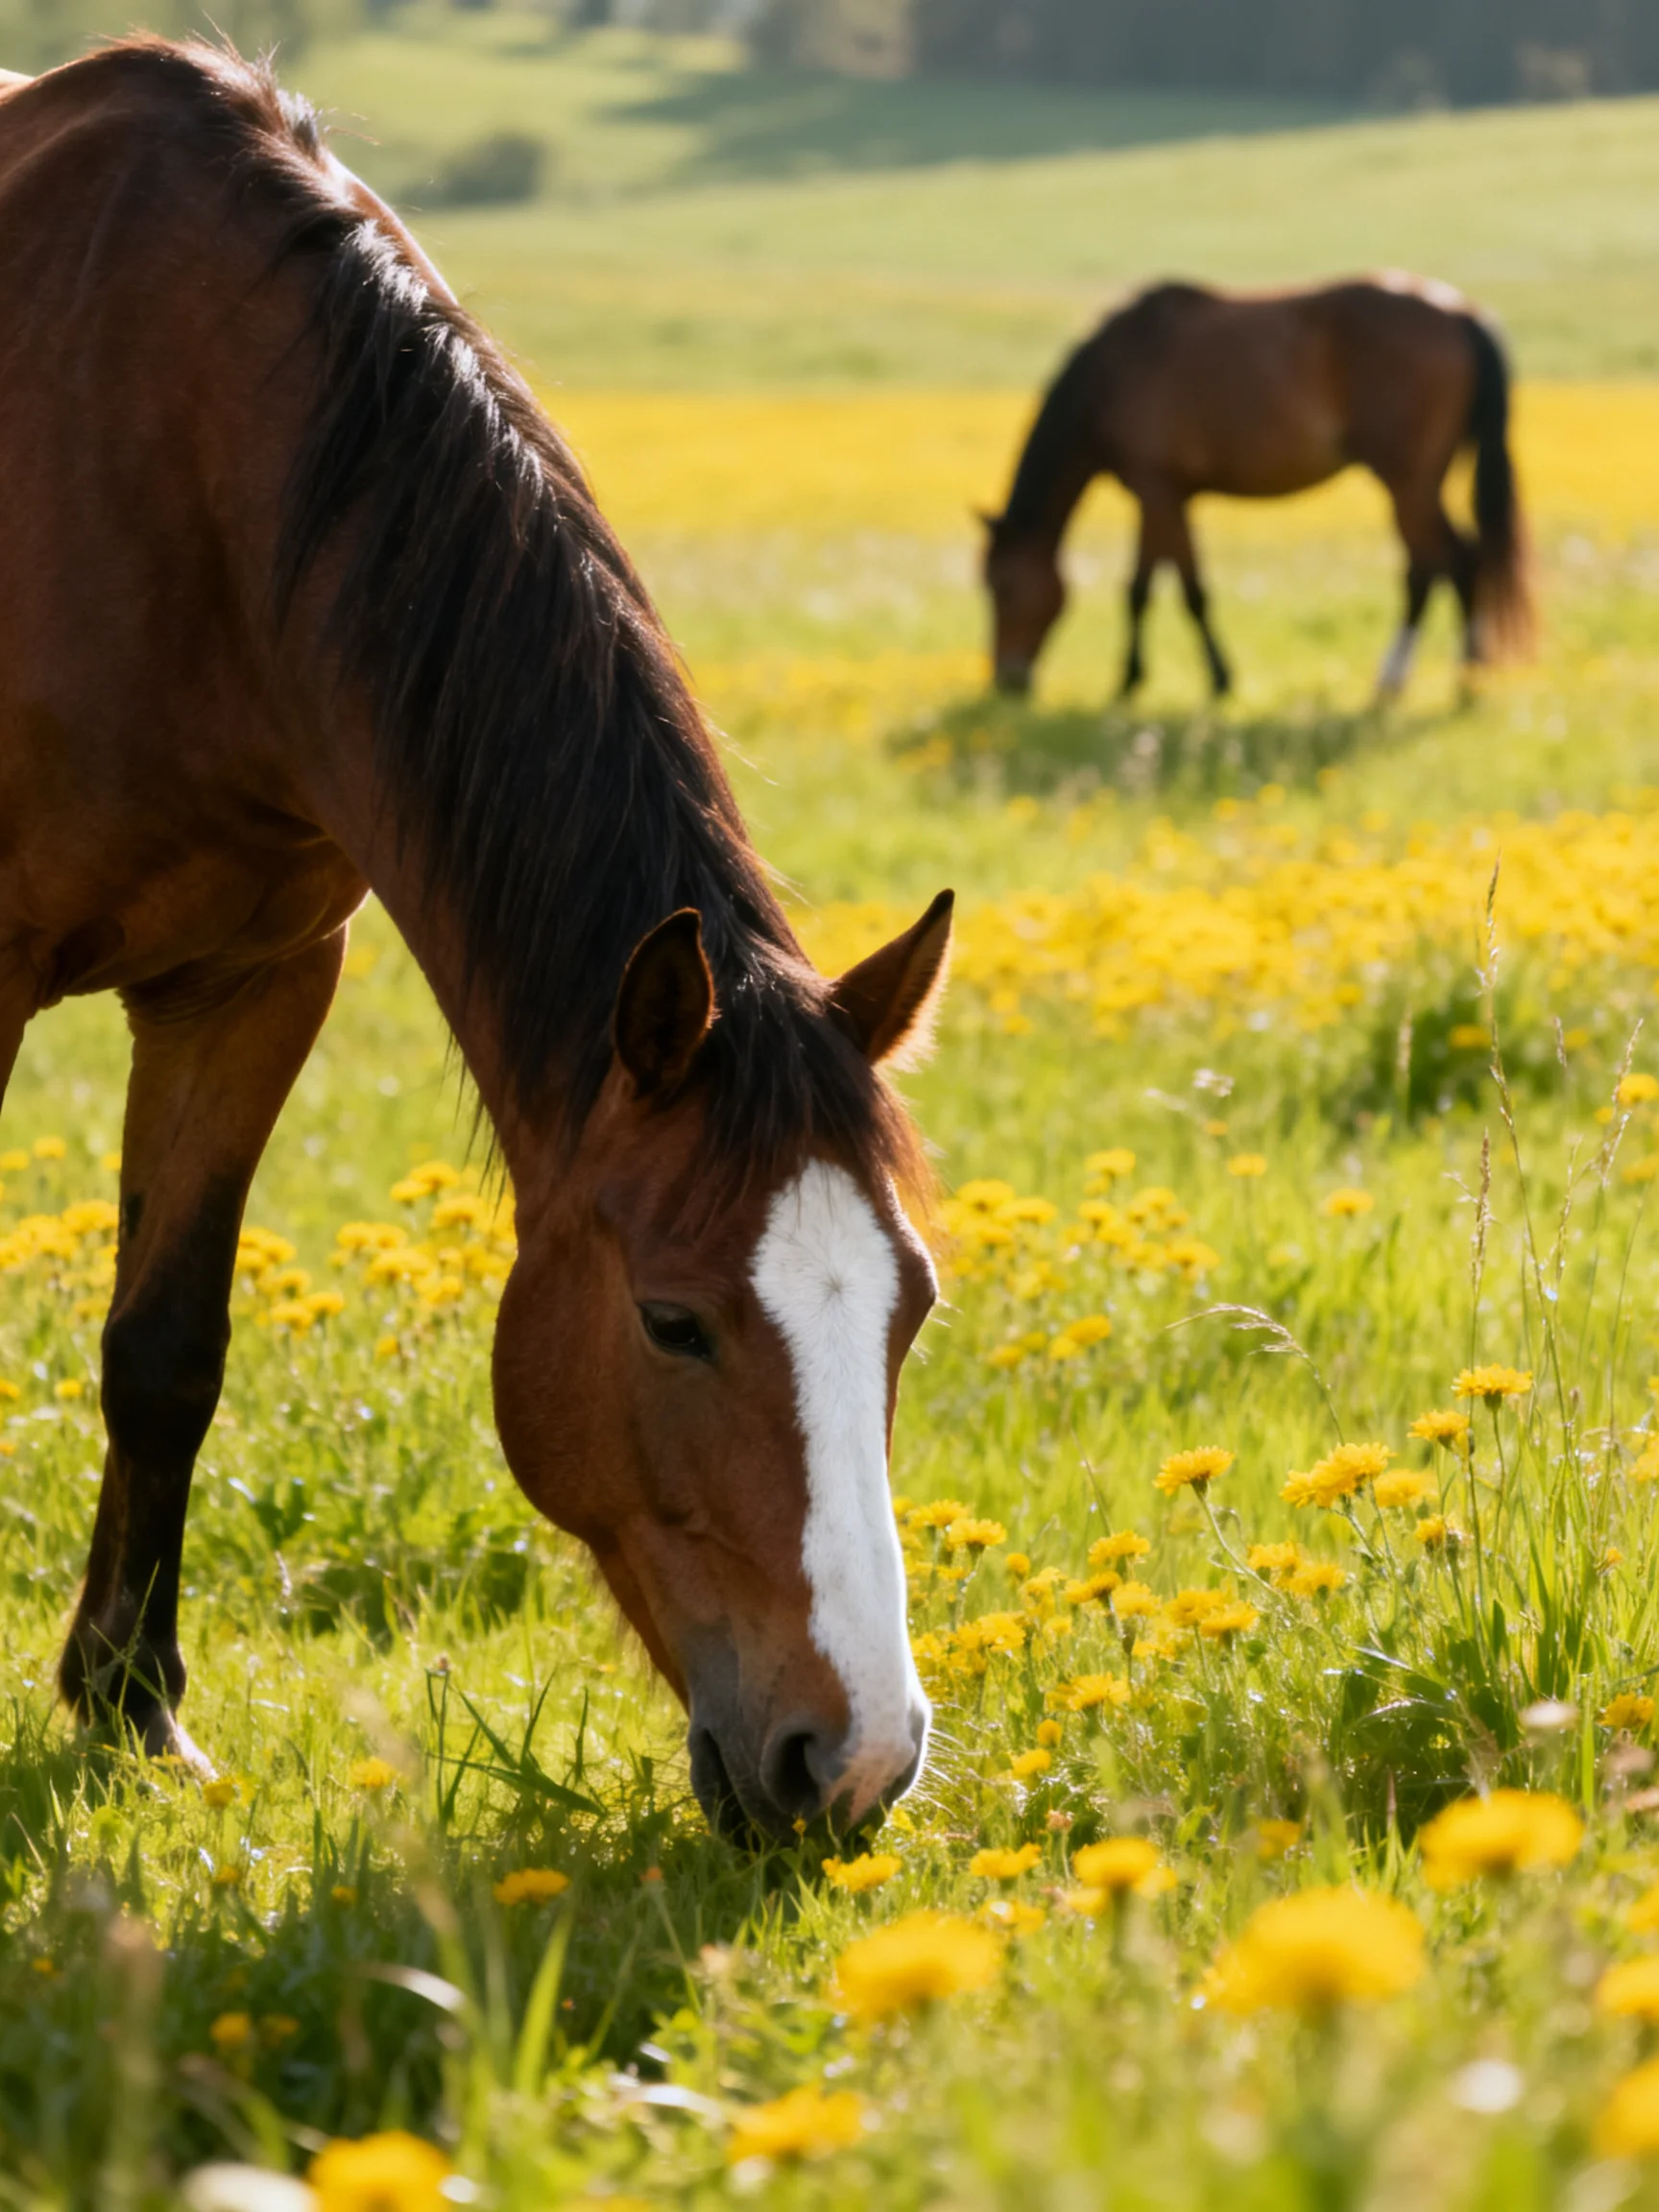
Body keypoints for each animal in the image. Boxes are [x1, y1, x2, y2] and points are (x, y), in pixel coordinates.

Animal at [0, 40, 953, 1845]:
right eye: (672, 1320)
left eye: (908, 1307)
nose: (850, 1765)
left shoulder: (253, 984)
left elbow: (165, 1353)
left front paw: (132, 1704)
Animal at [983, 277, 1533, 704]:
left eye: (1001, 587)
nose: (1007, 679)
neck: (1112, 374)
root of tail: (1460, 312)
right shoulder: (1158, 493)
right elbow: (1139, 589)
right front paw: (1130, 680)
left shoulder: (1159, 489)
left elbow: (1190, 591)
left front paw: (1219, 680)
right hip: (1423, 480)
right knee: (1453, 561)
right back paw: (1459, 677)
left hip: (1406, 479)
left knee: (1440, 563)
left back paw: (1417, 678)